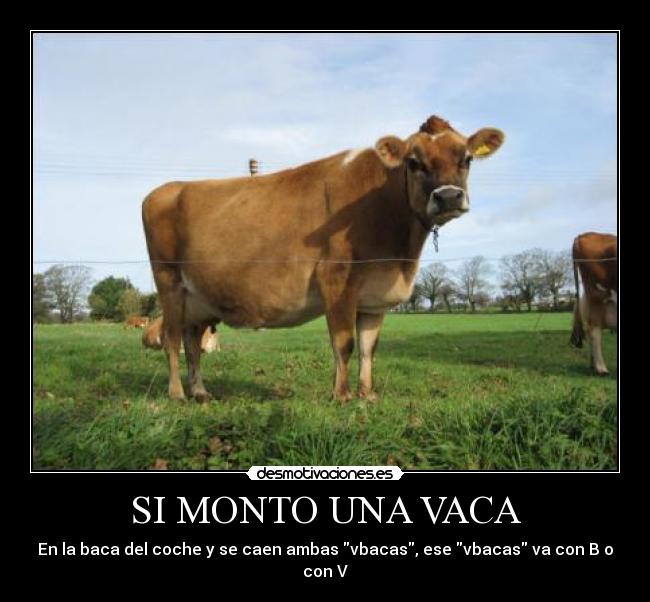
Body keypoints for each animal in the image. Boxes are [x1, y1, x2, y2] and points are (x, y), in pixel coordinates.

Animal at [142, 114, 505, 402]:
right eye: (413, 162)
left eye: (467, 159)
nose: (448, 196)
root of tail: (166, 190)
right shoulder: (338, 280)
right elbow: (344, 343)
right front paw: (341, 396)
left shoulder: (374, 296)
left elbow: (369, 347)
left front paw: (367, 395)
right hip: (169, 283)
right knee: (172, 340)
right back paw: (177, 393)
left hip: (199, 299)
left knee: (192, 343)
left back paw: (200, 391)